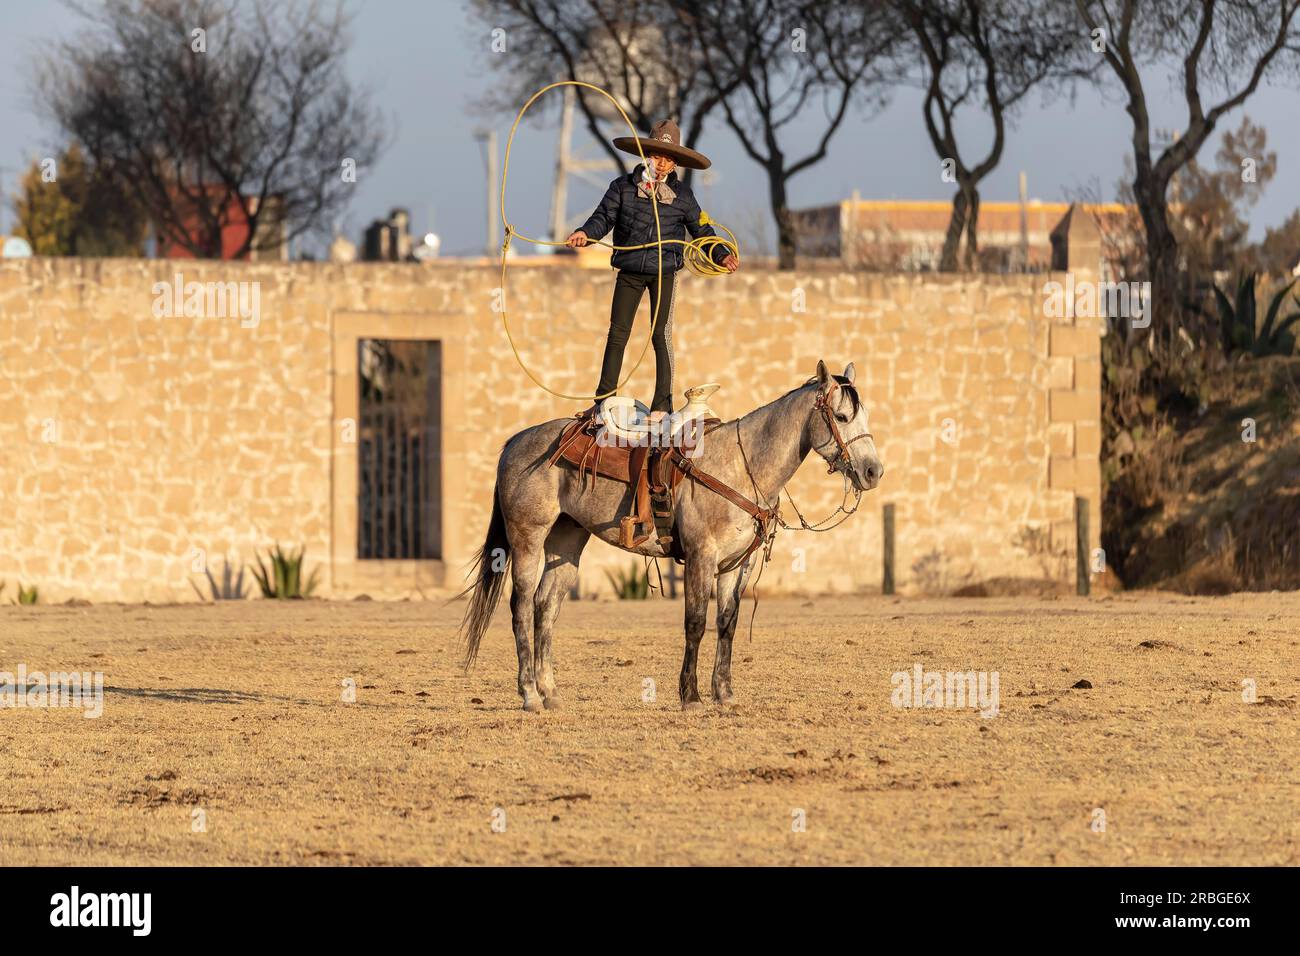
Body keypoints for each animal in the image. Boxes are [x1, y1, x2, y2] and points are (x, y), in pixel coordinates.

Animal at [458, 360, 884, 711]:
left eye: (864, 415)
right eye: (841, 416)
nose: (873, 471)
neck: (740, 466)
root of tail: (515, 443)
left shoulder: (736, 565)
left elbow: (727, 623)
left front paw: (723, 693)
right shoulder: (700, 557)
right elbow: (695, 622)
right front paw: (690, 696)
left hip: (567, 542)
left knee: (546, 607)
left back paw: (551, 693)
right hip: (527, 539)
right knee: (521, 607)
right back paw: (529, 694)